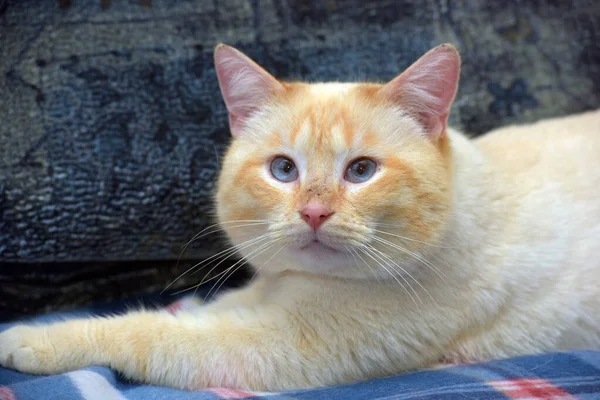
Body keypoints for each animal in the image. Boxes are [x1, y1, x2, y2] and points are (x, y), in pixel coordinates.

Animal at [1, 43, 600, 390]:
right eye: (283, 170)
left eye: (361, 171)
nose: (314, 212)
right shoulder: (266, 294)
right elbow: (208, 308)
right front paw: (191, 304)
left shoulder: (280, 347)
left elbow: (143, 332)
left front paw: (27, 339)